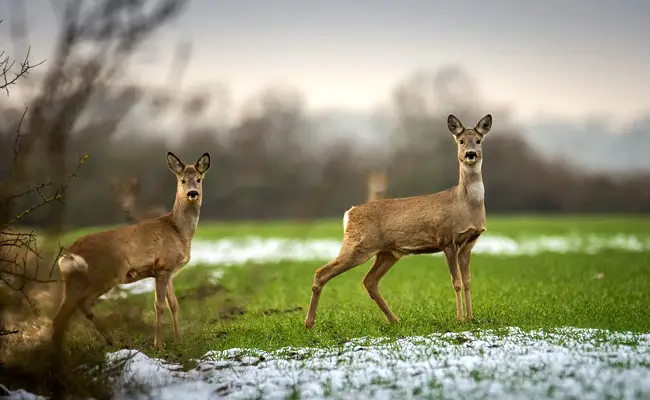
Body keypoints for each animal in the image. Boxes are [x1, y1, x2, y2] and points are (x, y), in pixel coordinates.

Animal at [52, 152, 211, 354]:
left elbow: (174, 304)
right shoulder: (162, 267)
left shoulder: (168, 271)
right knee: (83, 303)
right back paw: (113, 343)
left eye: (198, 179)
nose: (192, 193)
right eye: (182, 180)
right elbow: (159, 305)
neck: (178, 230)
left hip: (74, 279)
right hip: (107, 273)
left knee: (60, 317)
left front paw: (179, 340)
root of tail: (70, 253)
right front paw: (159, 345)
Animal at [304, 114, 492, 330]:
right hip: (358, 245)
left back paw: (394, 320)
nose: (470, 154)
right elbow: (457, 282)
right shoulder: (447, 240)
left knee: (369, 281)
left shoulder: (469, 243)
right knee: (321, 272)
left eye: (478, 140)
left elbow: (468, 281)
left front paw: (471, 318)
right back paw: (309, 323)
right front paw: (460, 319)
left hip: (387, 253)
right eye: (461, 141)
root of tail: (349, 214)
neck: (465, 203)